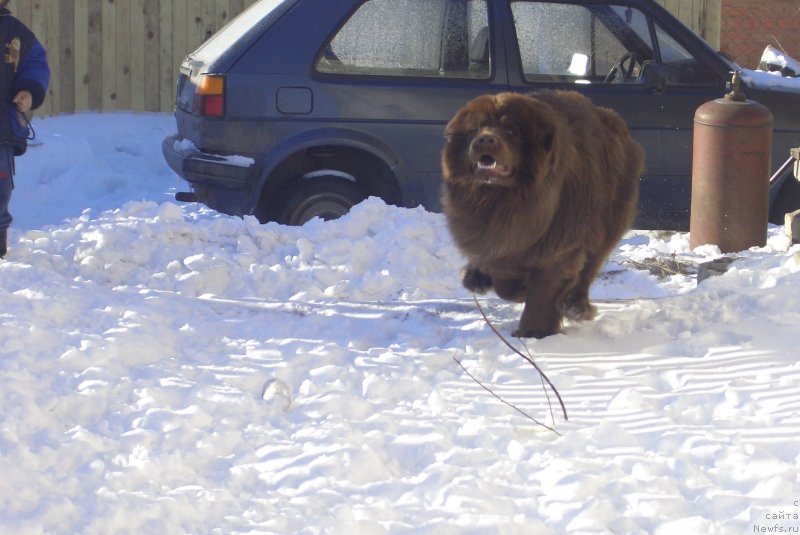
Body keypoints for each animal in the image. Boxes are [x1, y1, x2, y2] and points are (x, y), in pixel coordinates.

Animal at [444, 89, 644, 338]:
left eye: (512, 131)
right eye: (475, 129)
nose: (485, 139)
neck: (502, 201)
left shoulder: (560, 246)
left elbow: (541, 292)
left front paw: (532, 333)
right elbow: (503, 275)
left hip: (608, 223)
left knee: (590, 266)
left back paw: (576, 306)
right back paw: (476, 278)